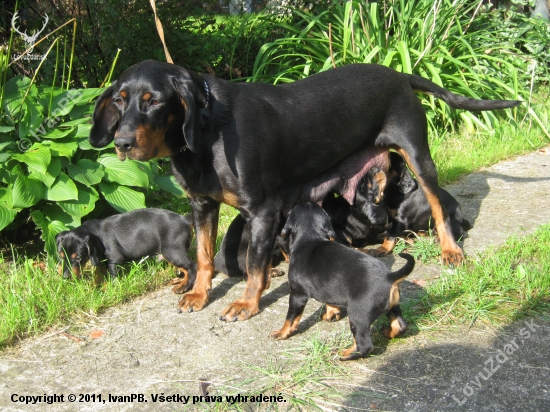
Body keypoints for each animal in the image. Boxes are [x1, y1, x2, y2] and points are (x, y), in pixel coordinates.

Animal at [56, 208, 197, 292]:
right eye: (60, 256)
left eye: (78, 258)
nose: (65, 277)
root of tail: (184, 219)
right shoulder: (100, 259)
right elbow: (99, 273)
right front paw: (95, 285)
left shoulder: (114, 259)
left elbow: (112, 276)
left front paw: (107, 287)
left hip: (172, 251)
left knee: (192, 266)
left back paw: (184, 286)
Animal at [89, 59, 520, 320]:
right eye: (120, 100)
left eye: (153, 102)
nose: (121, 143)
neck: (207, 132)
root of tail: (398, 74)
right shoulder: (201, 205)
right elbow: (205, 253)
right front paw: (198, 292)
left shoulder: (262, 211)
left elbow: (254, 266)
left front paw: (246, 303)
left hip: (417, 153)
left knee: (437, 204)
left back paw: (450, 249)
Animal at [274, 203, 416, 360]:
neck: (310, 237)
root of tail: (389, 277)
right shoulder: (328, 289)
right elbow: (330, 302)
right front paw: (330, 315)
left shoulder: (297, 294)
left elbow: (291, 318)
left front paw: (281, 333)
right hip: (393, 305)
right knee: (400, 326)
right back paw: (386, 331)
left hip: (357, 315)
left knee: (365, 345)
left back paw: (344, 354)